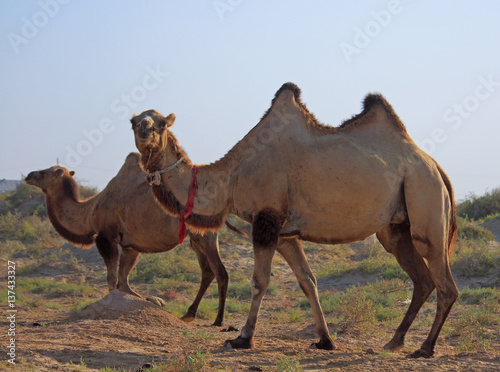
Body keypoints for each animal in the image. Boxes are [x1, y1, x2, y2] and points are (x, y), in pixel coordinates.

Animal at [26, 153, 229, 324]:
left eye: (45, 172)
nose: (28, 175)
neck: (89, 210)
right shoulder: (130, 245)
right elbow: (123, 282)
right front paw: (147, 301)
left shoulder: (106, 237)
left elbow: (112, 279)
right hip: (197, 236)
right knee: (207, 271)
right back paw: (188, 314)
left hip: (204, 234)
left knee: (220, 272)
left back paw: (218, 320)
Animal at [131, 83, 458, 358]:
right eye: (135, 122)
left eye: (160, 123)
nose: (145, 131)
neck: (231, 178)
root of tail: (437, 168)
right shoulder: (285, 233)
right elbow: (307, 280)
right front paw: (325, 340)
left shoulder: (266, 220)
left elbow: (259, 281)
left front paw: (242, 338)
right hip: (396, 229)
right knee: (422, 279)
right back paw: (394, 341)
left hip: (425, 198)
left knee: (444, 283)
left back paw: (425, 348)